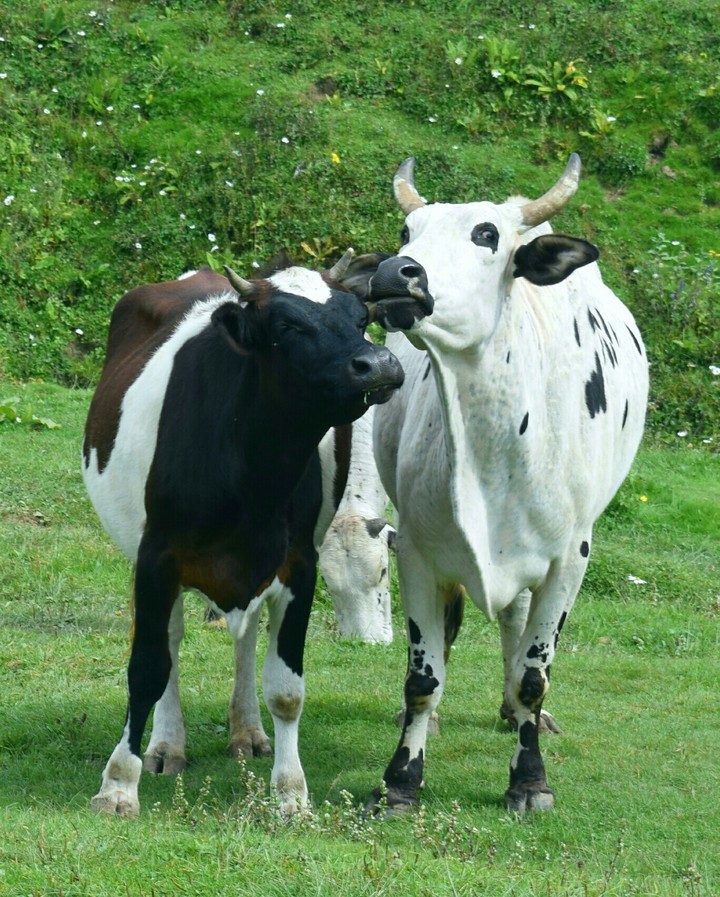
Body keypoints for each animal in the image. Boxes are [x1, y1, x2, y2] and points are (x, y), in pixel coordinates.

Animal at [82, 252, 432, 817]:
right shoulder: (156, 560)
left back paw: (246, 732)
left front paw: (290, 792)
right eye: (287, 326)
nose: (379, 364)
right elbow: (147, 669)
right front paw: (118, 784)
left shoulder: (298, 564)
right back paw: (166, 744)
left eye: (360, 318)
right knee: (172, 642)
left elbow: (286, 688)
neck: (250, 471)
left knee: (245, 638)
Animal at [368, 154, 649, 815]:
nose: (396, 272)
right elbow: (423, 677)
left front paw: (530, 778)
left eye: (487, 234)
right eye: (406, 232)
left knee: (517, 628)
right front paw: (402, 778)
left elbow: (532, 673)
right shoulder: (416, 552)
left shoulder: (569, 560)